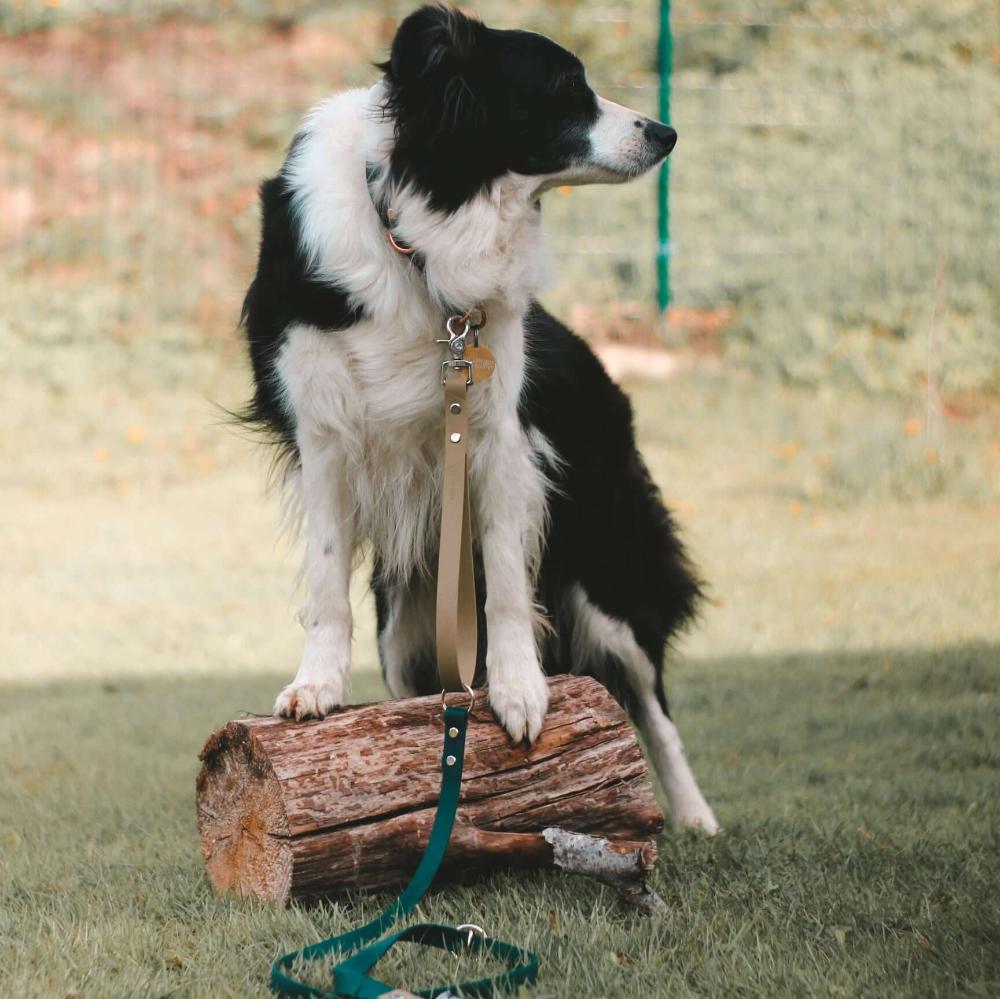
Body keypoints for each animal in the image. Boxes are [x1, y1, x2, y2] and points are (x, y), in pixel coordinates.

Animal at [246, 5, 724, 836]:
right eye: (566, 87)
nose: (664, 132)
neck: (420, 225)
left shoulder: (499, 434)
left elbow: (503, 573)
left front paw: (519, 689)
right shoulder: (324, 433)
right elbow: (327, 574)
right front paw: (317, 688)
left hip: (606, 564)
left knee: (650, 697)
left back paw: (694, 816)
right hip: (406, 620)